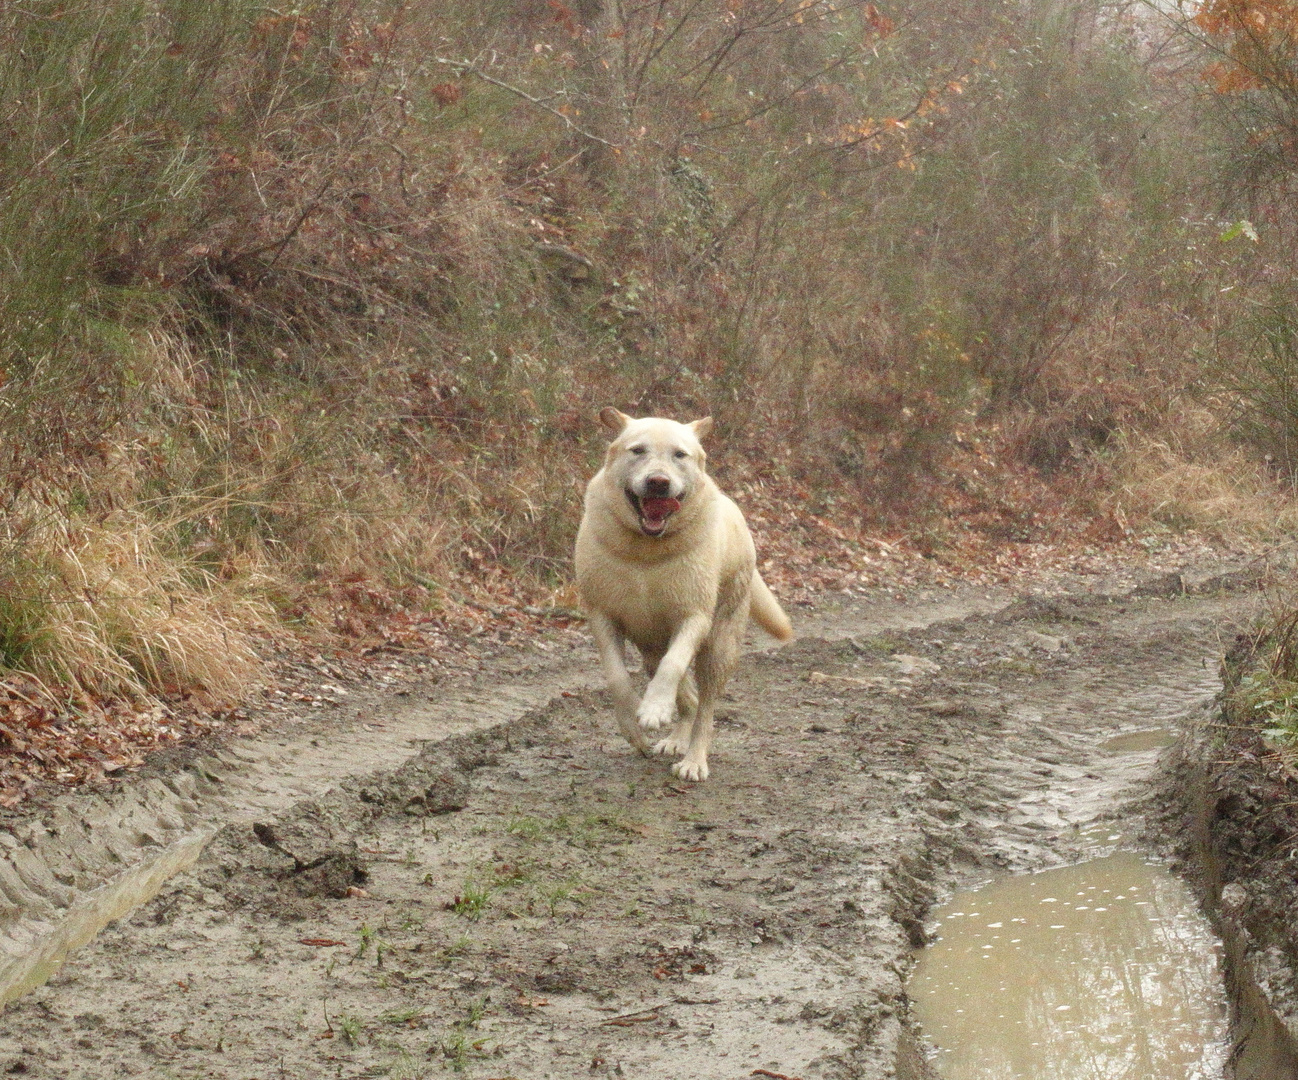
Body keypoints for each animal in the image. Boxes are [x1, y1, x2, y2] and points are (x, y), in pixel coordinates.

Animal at [576, 410, 789, 778]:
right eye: (638, 450)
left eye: (679, 454)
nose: (658, 482)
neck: (645, 551)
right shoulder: (601, 616)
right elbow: (616, 676)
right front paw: (633, 722)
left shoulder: (694, 617)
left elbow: (673, 666)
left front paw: (655, 708)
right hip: (650, 647)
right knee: (687, 698)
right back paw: (676, 739)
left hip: (720, 645)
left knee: (705, 706)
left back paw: (693, 759)